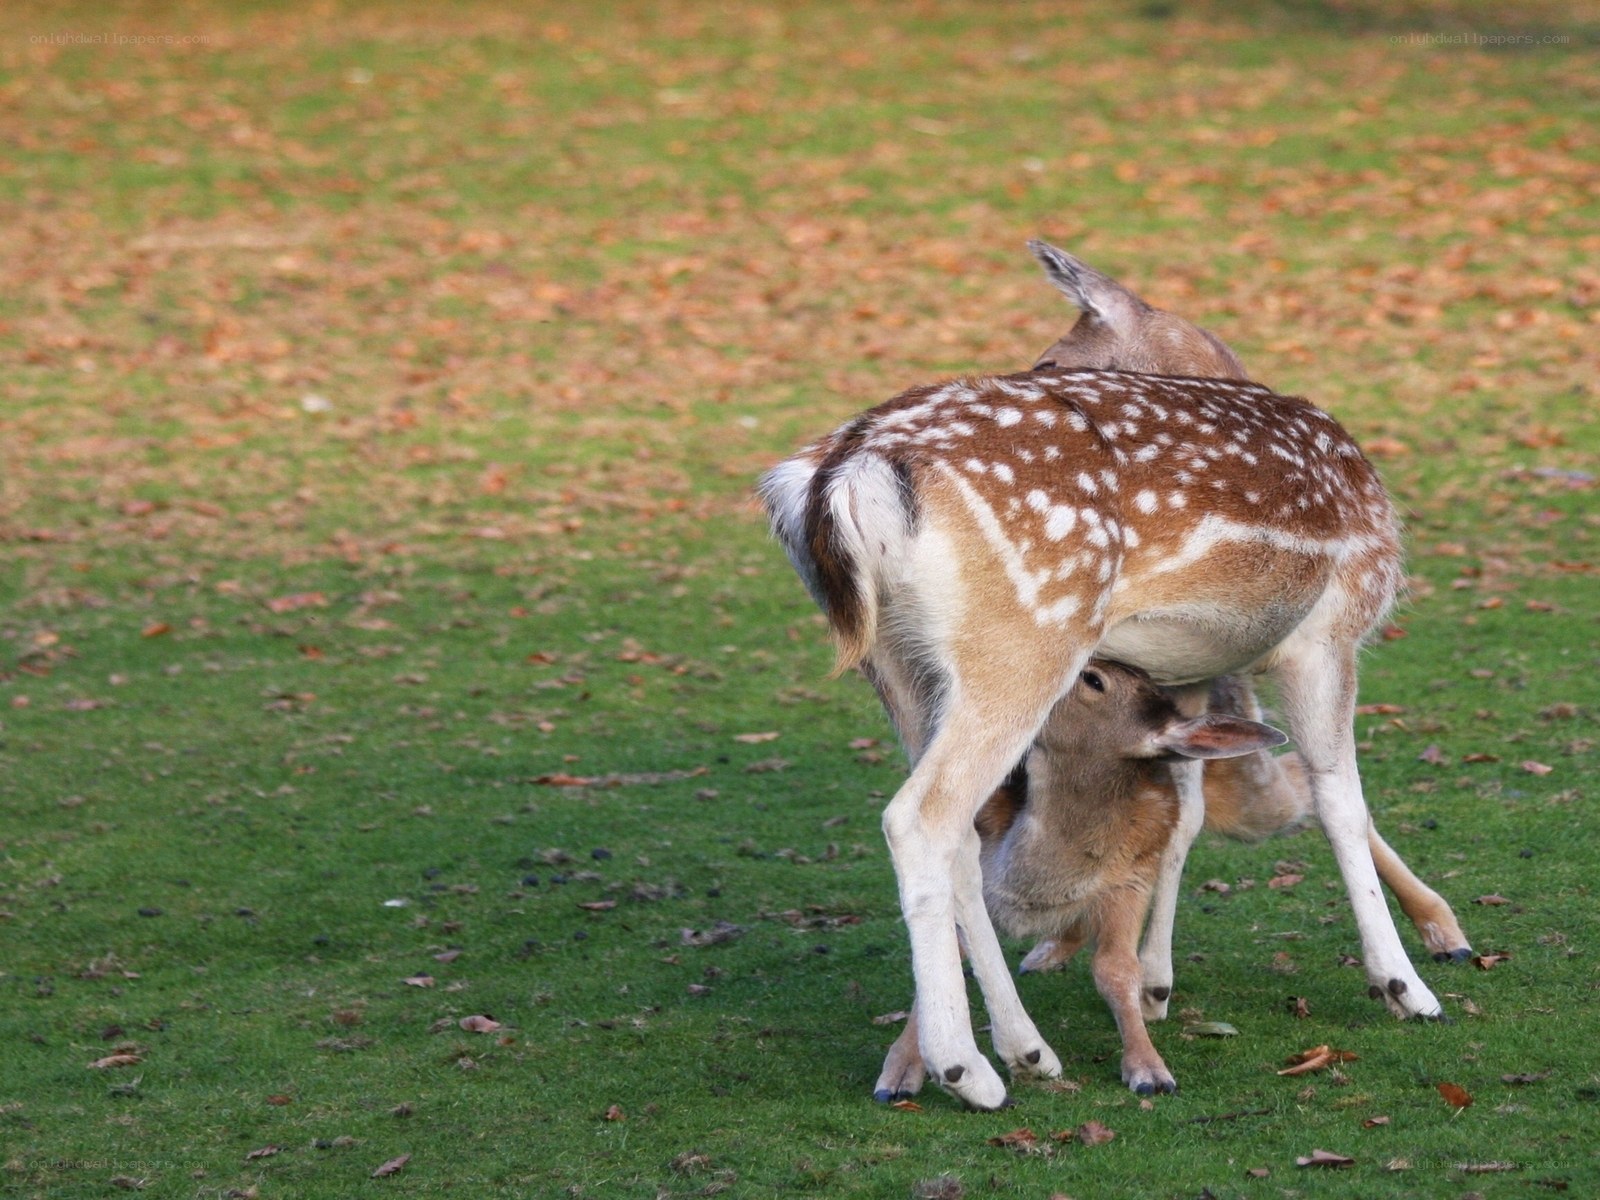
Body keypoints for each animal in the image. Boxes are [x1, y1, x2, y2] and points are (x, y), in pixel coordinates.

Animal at [758, 241, 1470, 1110]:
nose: (1032, 365)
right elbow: (1339, 796)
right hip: (1023, 639)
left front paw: (1157, 981)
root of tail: (843, 474)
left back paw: (1026, 1049)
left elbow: (1185, 812)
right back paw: (971, 1069)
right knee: (919, 817)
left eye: (1049, 355)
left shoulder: (1187, 669)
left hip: (898, 666)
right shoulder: (1329, 629)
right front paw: (1406, 985)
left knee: (963, 828)